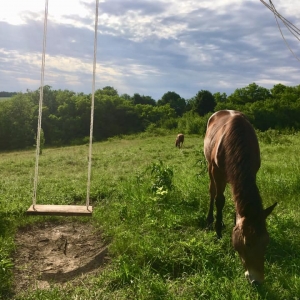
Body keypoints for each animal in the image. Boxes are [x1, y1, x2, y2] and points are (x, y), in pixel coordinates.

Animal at [204, 109, 276, 284]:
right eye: (247, 243)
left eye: (266, 241)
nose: (257, 280)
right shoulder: (217, 171)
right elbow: (219, 200)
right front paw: (218, 231)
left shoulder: (253, 171)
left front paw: (232, 221)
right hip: (210, 166)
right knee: (212, 192)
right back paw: (210, 220)